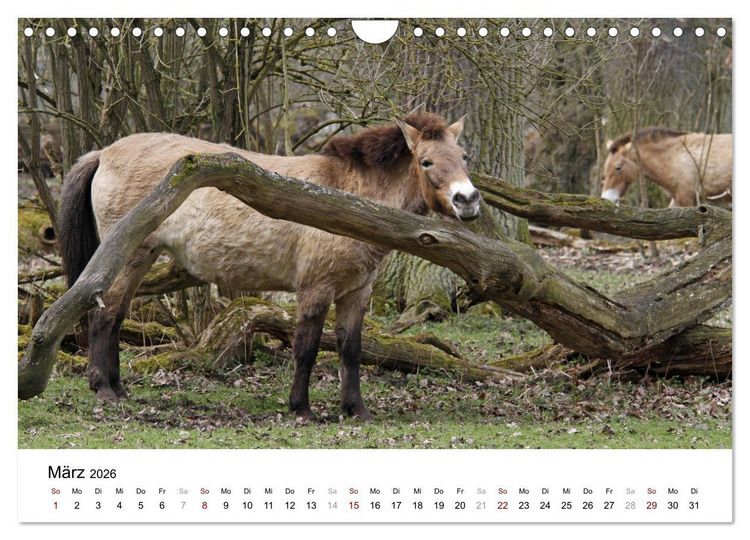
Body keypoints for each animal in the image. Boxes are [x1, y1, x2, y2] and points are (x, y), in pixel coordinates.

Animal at [57, 112, 481, 421]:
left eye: (463, 158)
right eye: (426, 162)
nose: (468, 200)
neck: (347, 199)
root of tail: (103, 153)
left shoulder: (356, 294)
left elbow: (351, 351)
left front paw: (356, 410)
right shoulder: (316, 289)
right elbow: (306, 349)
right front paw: (302, 409)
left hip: (140, 258)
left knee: (116, 317)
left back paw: (118, 386)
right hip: (128, 258)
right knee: (103, 316)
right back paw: (103, 389)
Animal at [601, 127, 732, 207]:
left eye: (618, 167)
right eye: (605, 168)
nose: (607, 198)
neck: (673, 157)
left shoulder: (687, 199)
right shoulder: (677, 200)